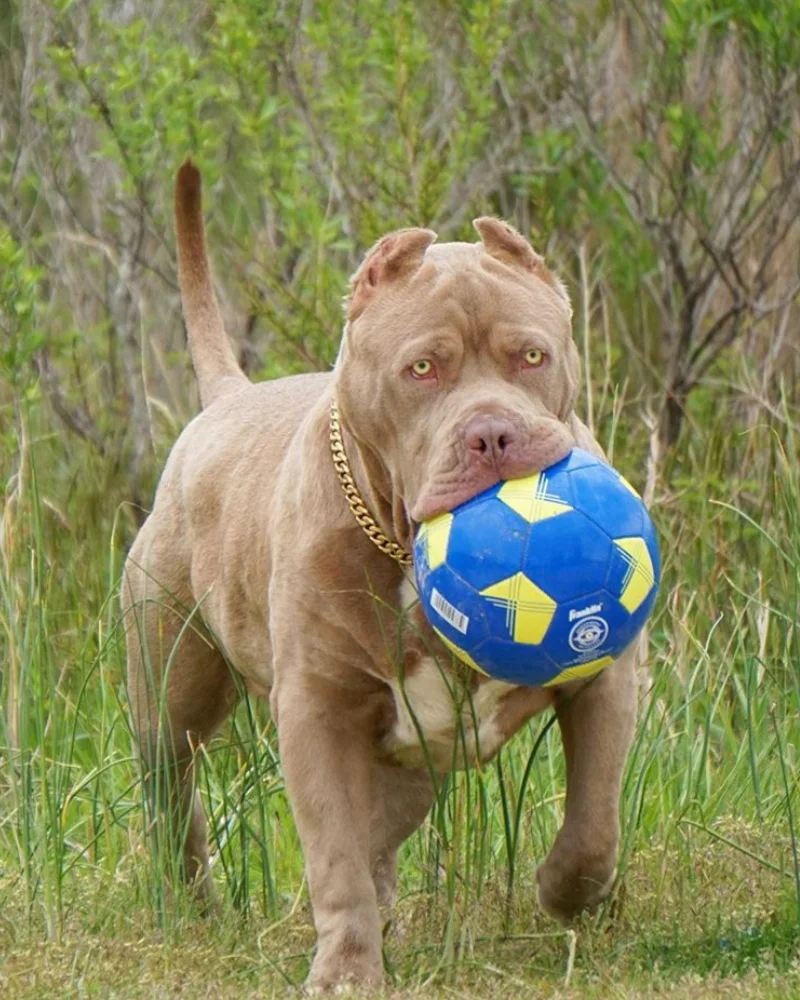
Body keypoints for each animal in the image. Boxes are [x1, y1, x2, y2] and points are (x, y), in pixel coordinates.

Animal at [123, 162, 636, 992]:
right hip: (170, 697)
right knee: (176, 797)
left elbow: (594, 817)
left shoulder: (604, 675)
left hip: (414, 756)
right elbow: (334, 858)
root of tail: (229, 398)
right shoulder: (317, 712)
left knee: (383, 830)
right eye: (421, 369)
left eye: (532, 357)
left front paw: (564, 894)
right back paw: (193, 906)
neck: (399, 540)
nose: (493, 434)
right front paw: (345, 969)